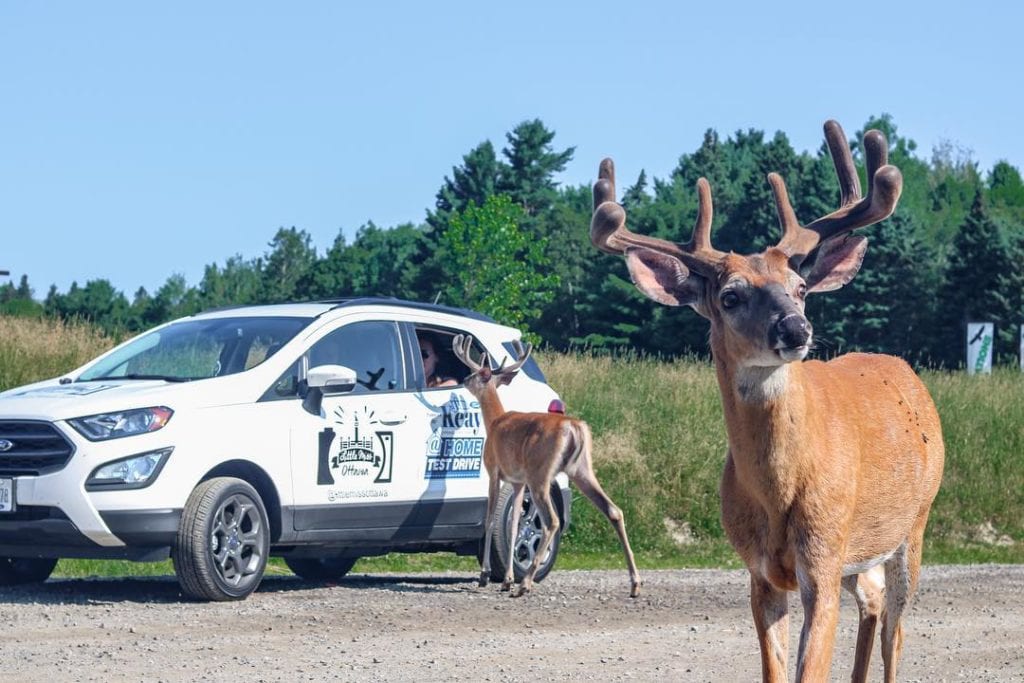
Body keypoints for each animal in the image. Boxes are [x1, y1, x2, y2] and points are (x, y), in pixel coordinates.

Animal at [450, 335, 638, 598]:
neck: (495, 421)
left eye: (474, 374)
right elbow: (514, 524)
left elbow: (489, 520)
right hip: (582, 469)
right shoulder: (518, 481)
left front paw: (486, 575)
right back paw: (635, 583)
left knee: (553, 521)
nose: (463, 380)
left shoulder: (494, 470)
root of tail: (573, 427)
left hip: (540, 472)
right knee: (614, 510)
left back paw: (525, 583)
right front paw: (507, 579)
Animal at [593, 120, 942, 679]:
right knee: (871, 599)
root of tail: (904, 371)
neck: (779, 492)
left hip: (914, 523)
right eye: (730, 295)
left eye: (800, 288)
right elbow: (775, 668)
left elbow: (811, 668)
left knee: (896, 628)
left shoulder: (822, 558)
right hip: (860, 549)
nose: (796, 329)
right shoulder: (760, 572)